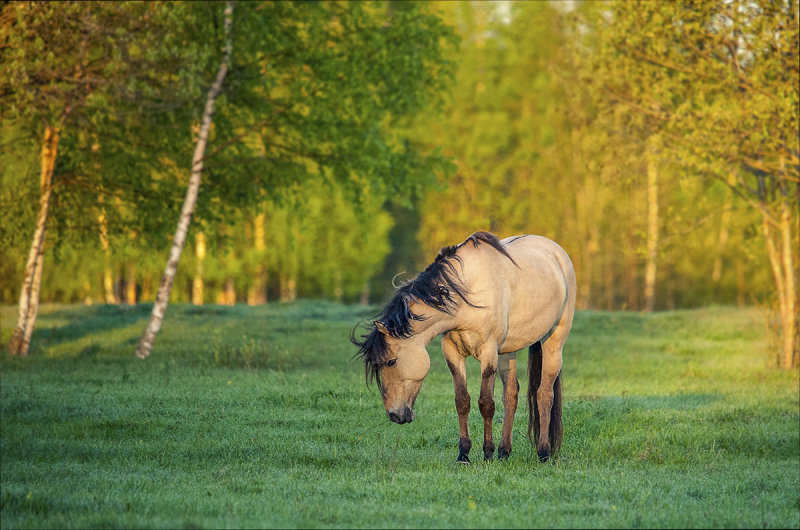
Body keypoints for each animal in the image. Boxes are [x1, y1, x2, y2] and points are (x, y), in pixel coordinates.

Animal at [352, 229, 576, 460]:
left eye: (391, 362)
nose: (395, 415)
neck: (467, 295)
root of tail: (556, 251)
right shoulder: (452, 352)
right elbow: (462, 401)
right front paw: (464, 454)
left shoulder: (488, 353)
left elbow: (486, 403)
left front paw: (487, 453)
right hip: (507, 352)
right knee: (511, 395)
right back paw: (504, 452)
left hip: (553, 342)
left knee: (544, 395)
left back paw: (543, 452)